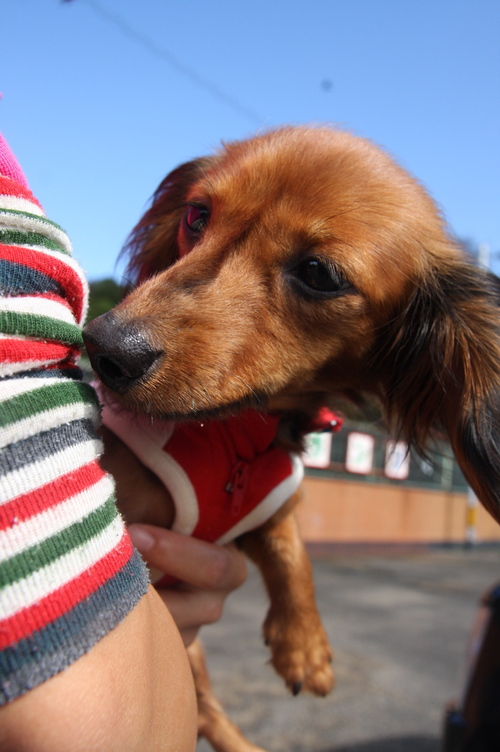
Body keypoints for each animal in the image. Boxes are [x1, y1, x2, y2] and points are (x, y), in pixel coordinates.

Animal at [84, 126, 500, 748]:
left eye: (320, 274)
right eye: (197, 215)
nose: (104, 348)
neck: (240, 435)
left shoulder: (260, 510)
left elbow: (292, 550)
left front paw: (304, 646)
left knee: (204, 707)